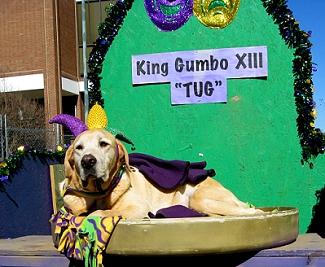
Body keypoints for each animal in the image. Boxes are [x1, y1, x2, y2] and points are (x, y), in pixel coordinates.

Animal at [60, 129, 260, 219]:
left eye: (103, 144)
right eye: (79, 148)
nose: (87, 161)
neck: (96, 193)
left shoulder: (137, 206)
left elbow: (104, 212)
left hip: (200, 199)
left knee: (251, 211)